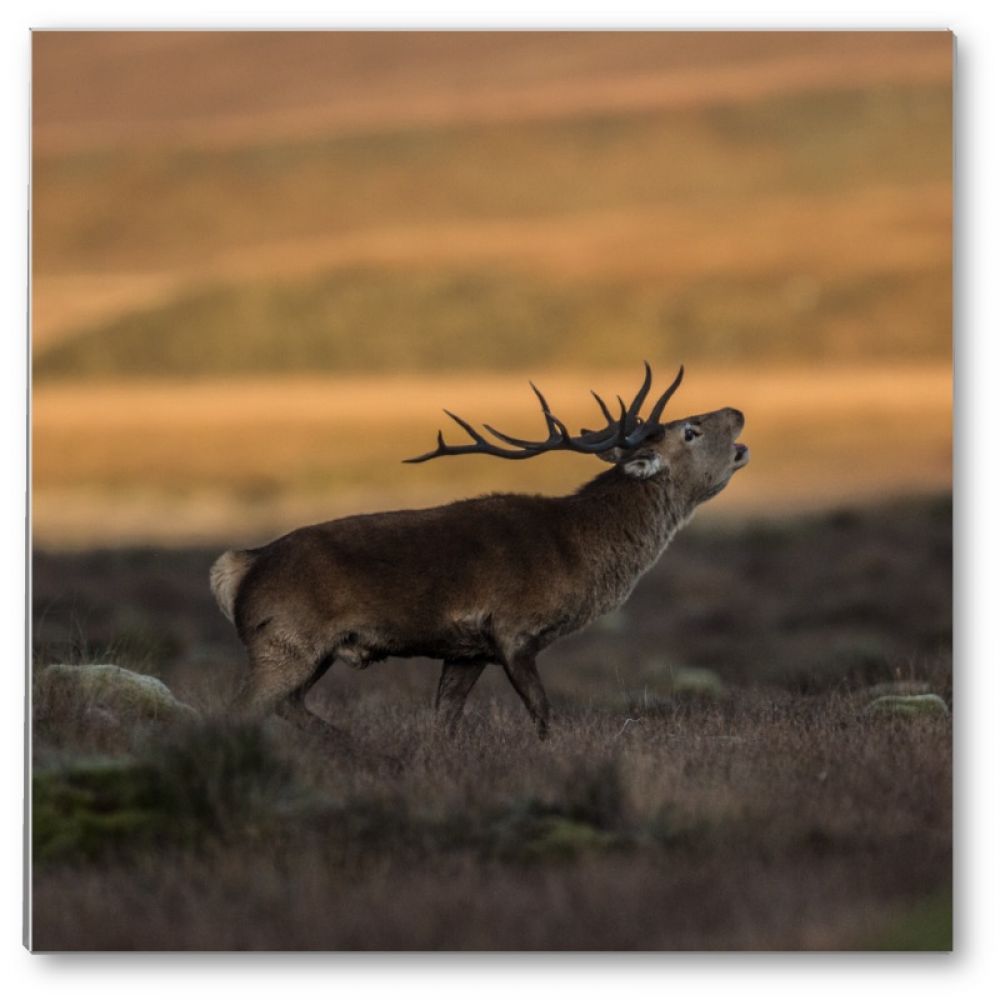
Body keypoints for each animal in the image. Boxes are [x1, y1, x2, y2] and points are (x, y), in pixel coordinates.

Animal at [211, 364, 748, 740]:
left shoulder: (468, 650)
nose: (738, 412)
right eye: (690, 429)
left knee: (289, 705)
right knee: (239, 710)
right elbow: (542, 714)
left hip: (309, 651)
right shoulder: (513, 629)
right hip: (283, 641)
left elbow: (444, 724)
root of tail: (239, 567)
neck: (581, 552)